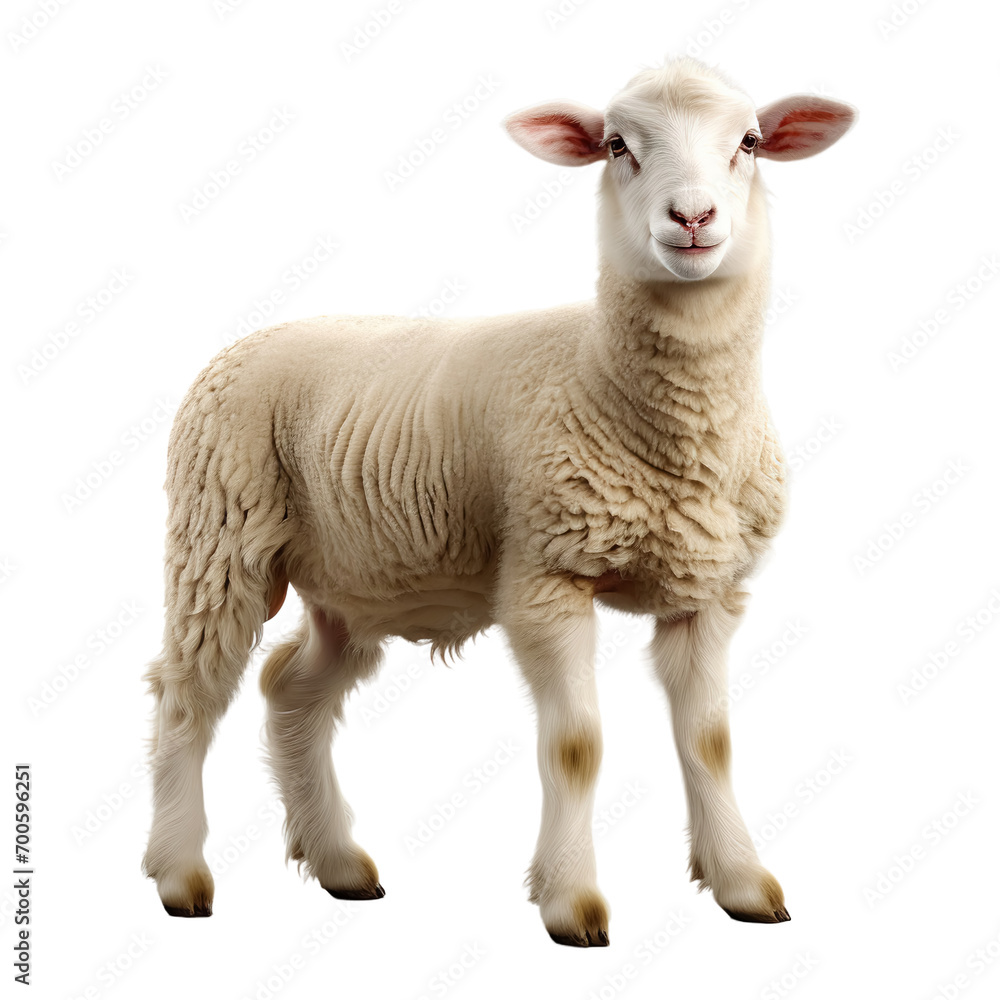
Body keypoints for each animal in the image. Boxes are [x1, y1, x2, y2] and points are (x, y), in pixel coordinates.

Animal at [142, 56, 856, 946]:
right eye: (617, 145)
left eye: (750, 142)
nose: (693, 218)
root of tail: (248, 339)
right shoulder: (546, 577)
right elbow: (577, 745)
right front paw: (571, 901)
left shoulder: (708, 593)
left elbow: (711, 741)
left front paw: (742, 883)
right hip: (218, 534)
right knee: (187, 696)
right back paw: (180, 874)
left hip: (347, 581)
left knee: (290, 689)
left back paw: (340, 864)